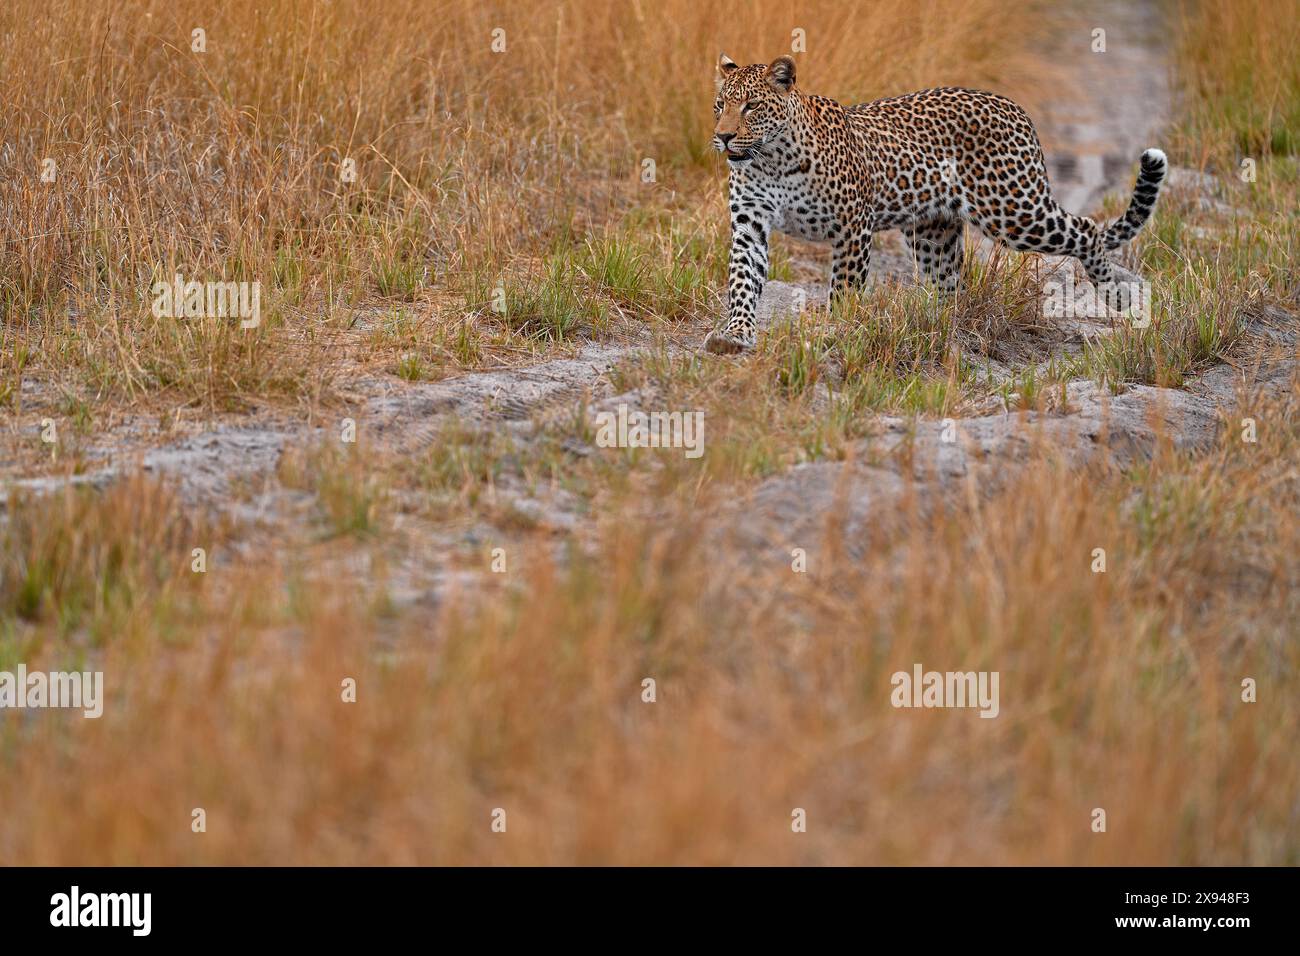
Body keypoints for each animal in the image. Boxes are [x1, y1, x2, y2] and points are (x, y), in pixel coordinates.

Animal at [707, 52, 1175, 353]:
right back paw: (943, 329)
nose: (724, 137)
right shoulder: (750, 224)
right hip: (934, 233)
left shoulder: (853, 226)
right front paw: (735, 334)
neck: (771, 158)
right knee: (954, 285)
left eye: (751, 107)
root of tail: (1015, 108)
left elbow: (845, 289)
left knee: (1086, 229)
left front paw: (836, 331)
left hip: (1014, 210)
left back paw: (1116, 294)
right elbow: (742, 280)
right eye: (719, 105)